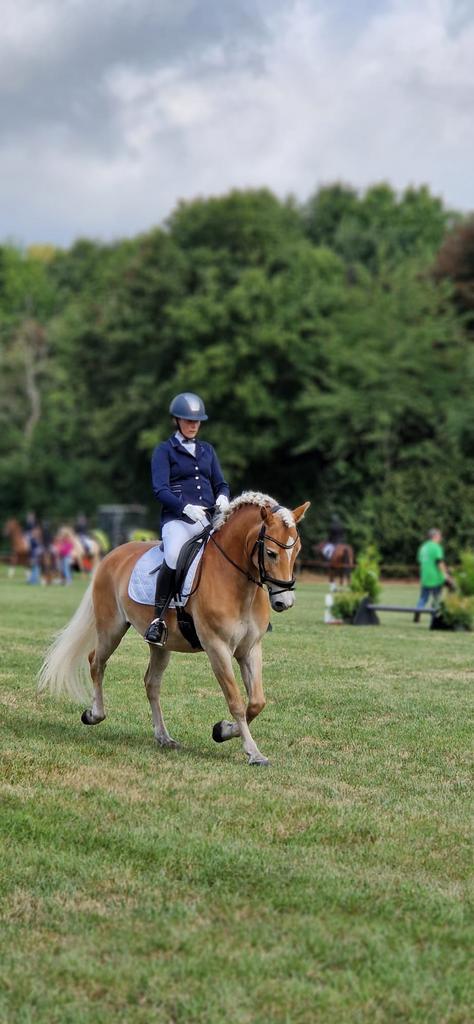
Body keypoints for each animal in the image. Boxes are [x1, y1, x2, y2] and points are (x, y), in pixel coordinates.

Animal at [37, 492, 310, 766]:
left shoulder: (250, 648)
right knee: (96, 662)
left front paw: (222, 730)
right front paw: (253, 752)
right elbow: (235, 700)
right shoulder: (217, 648)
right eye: (271, 553)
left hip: (161, 644)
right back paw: (94, 715)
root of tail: (112, 555)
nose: (284, 602)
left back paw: (163, 737)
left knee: (151, 683)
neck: (236, 581)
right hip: (111, 629)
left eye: (297, 550)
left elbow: (256, 702)